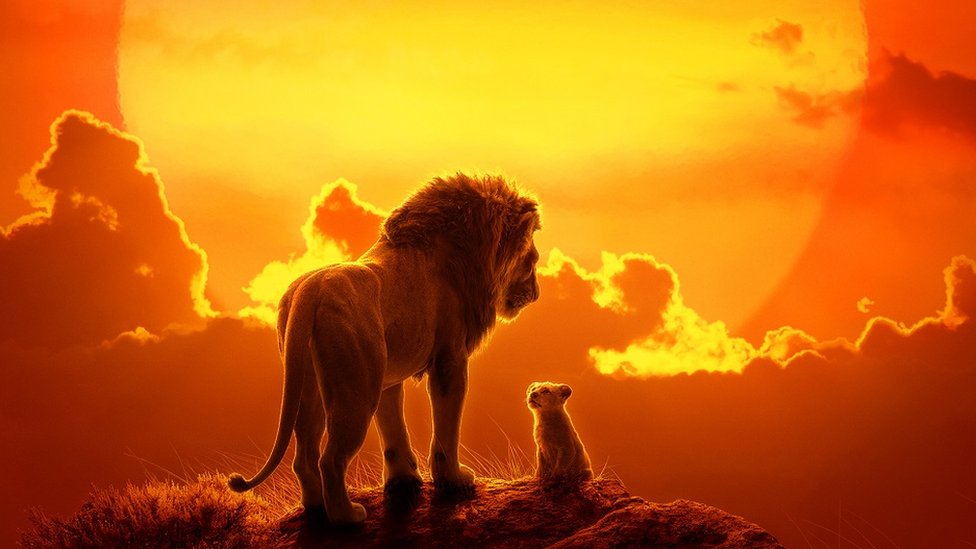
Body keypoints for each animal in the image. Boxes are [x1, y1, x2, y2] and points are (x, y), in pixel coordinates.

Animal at [228, 173, 541, 524]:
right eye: (532, 261)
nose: (537, 293)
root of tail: (310, 291)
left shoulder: (387, 376)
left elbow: (393, 429)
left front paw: (404, 480)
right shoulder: (450, 359)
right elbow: (446, 426)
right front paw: (454, 480)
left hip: (310, 385)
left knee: (305, 456)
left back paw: (316, 508)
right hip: (356, 391)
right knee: (331, 459)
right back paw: (347, 517)